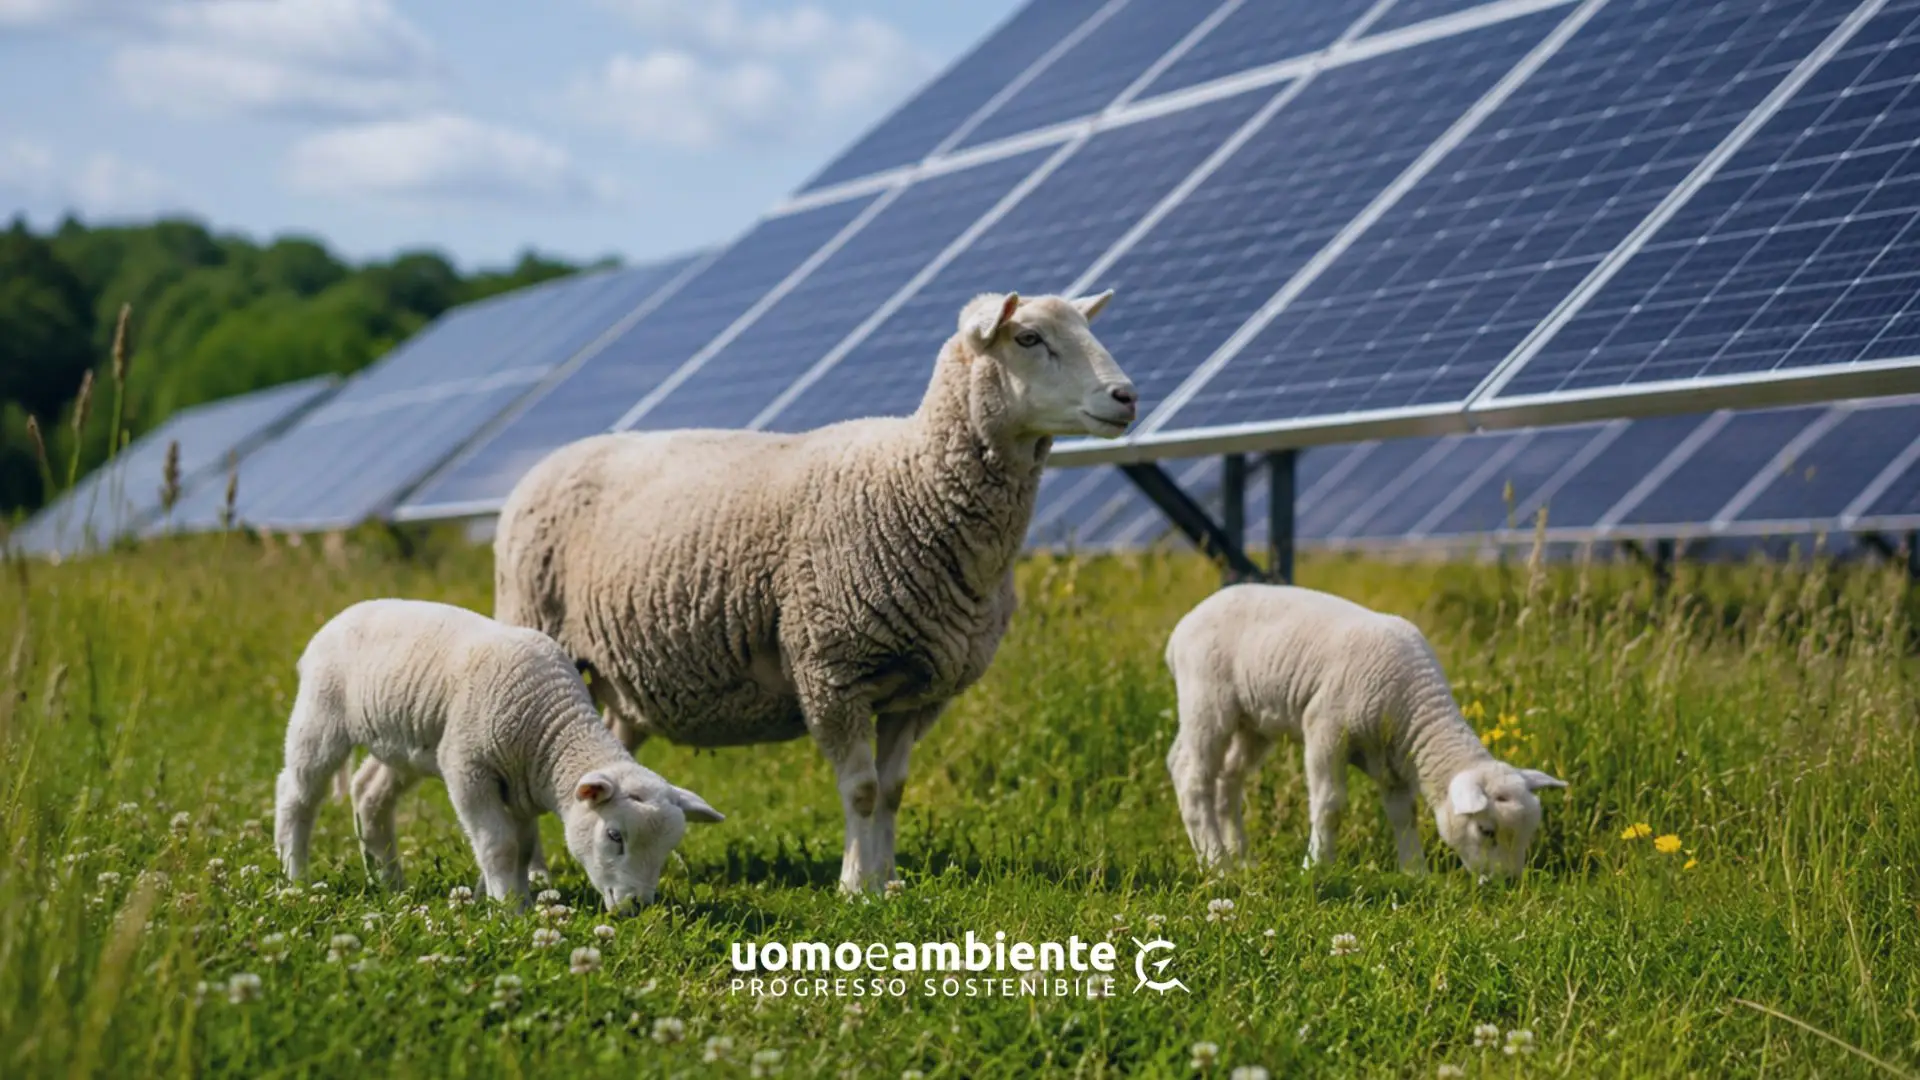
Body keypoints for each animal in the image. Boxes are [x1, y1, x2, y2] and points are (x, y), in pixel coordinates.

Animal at [273, 599, 723, 909]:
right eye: (615, 836)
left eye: (665, 850)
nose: (635, 907)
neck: (550, 730)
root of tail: (340, 617)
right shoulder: (469, 769)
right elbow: (500, 846)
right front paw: (508, 911)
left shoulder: (520, 789)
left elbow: (521, 851)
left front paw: (511, 902)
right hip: (321, 714)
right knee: (296, 794)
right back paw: (294, 875)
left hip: (402, 743)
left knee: (369, 793)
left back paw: (389, 883)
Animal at [494, 291, 1137, 893]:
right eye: (1028, 337)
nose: (1127, 396)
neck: (915, 481)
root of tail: (549, 461)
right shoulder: (832, 668)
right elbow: (861, 791)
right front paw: (855, 886)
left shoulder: (921, 689)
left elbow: (893, 789)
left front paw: (887, 880)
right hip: (535, 623)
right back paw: (538, 875)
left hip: (623, 675)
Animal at [1164, 584, 1564, 878]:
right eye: (1486, 831)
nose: (1507, 883)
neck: (1413, 704)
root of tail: (1181, 628)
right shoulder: (1325, 727)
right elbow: (1330, 805)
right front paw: (1316, 867)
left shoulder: (1392, 756)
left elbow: (1404, 814)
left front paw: (1415, 873)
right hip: (1206, 698)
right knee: (1190, 774)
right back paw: (1217, 865)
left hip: (1253, 721)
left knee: (1227, 780)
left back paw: (1241, 858)